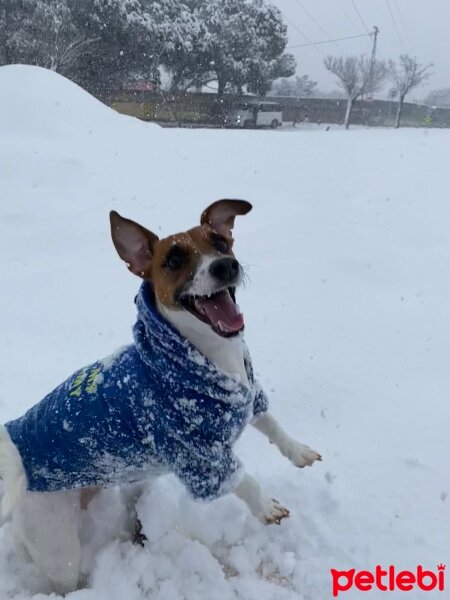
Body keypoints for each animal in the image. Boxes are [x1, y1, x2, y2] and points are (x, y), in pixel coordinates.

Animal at [0, 199, 322, 592]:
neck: (215, 357)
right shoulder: (198, 456)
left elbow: (272, 424)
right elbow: (243, 481)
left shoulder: (248, 396)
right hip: (56, 544)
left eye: (221, 242)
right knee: (62, 576)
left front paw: (299, 451)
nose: (225, 265)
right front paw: (265, 506)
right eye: (173, 260)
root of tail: (15, 453)